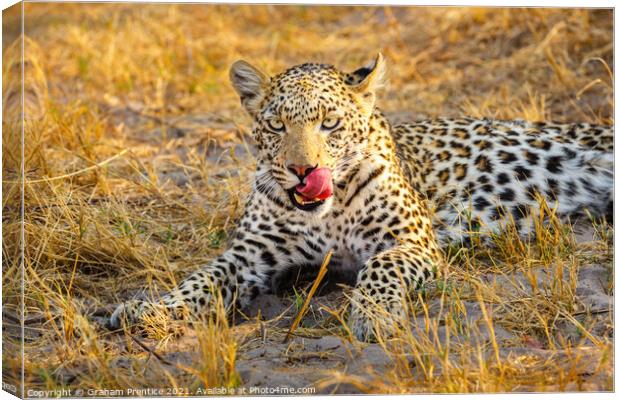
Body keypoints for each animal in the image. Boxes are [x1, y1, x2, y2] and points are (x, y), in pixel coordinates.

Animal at [109, 52, 612, 340]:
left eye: (329, 123)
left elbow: (379, 268)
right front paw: (151, 309)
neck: (327, 213)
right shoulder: (250, 254)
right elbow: (202, 279)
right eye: (276, 126)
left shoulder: (411, 242)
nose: (303, 171)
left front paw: (374, 316)